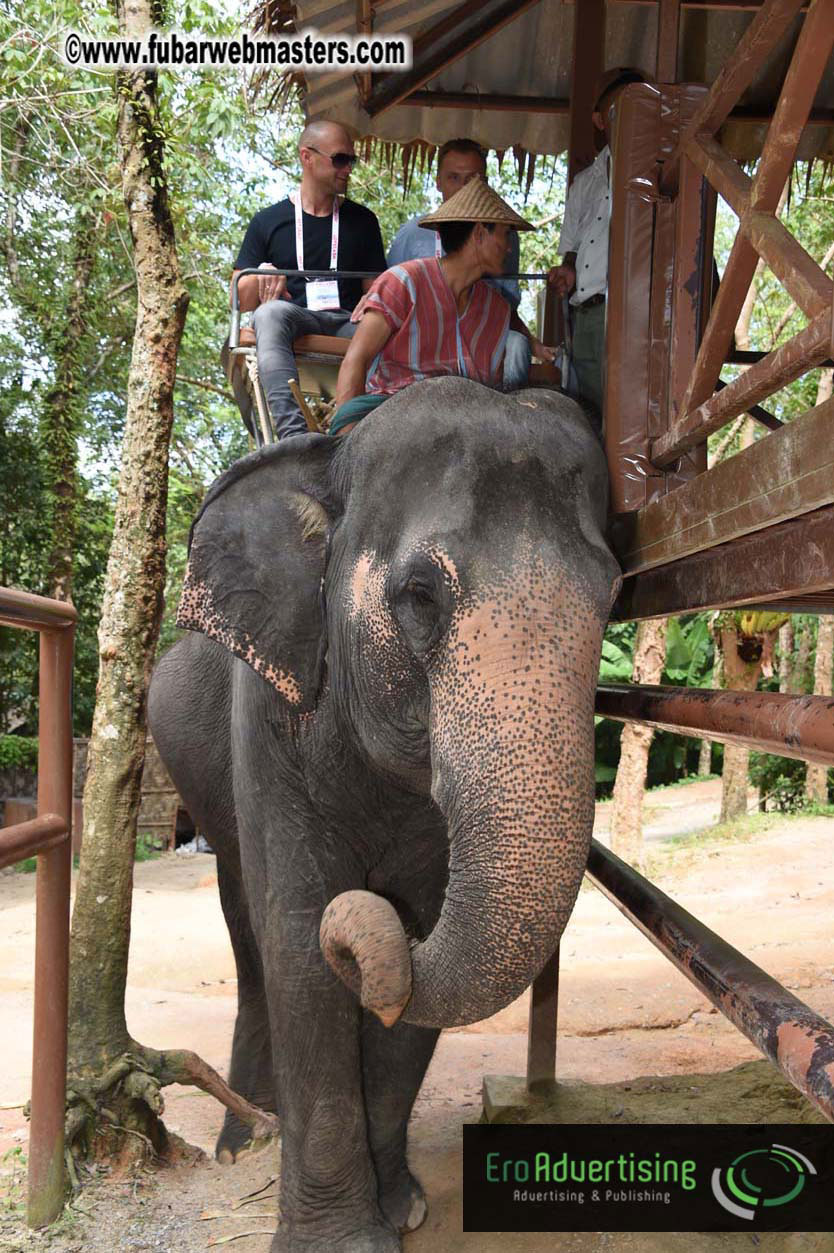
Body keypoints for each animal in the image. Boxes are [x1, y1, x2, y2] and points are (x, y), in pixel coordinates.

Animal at [148, 377, 620, 1252]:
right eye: (419, 595)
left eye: (611, 595)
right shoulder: (269, 714)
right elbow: (301, 940)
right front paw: (340, 1240)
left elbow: (418, 935)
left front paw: (400, 1207)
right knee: (248, 933)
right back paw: (244, 1141)